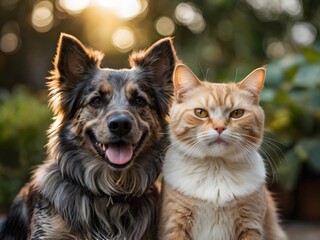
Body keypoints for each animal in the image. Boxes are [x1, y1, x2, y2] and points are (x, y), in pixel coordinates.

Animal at [158, 63, 288, 240]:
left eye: (237, 113)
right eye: (200, 112)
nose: (219, 127)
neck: (216, 169)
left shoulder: (251, 224)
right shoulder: (175, 223)